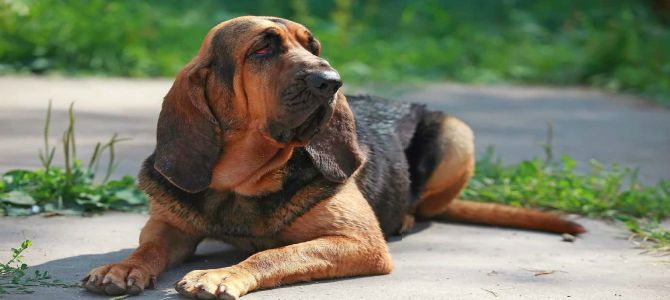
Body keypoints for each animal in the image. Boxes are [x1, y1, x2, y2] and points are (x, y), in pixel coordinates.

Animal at [84, 17, 588, 300]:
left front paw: (220, 275)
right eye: (262, 48)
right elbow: (148, 247)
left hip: (457, 133)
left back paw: (407, 216)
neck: (244, 180)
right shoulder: (169, 226)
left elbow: (273, 254)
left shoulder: (357, 241)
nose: (332, 81)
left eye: (314, 48)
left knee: (427, 204)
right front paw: (122, 268)